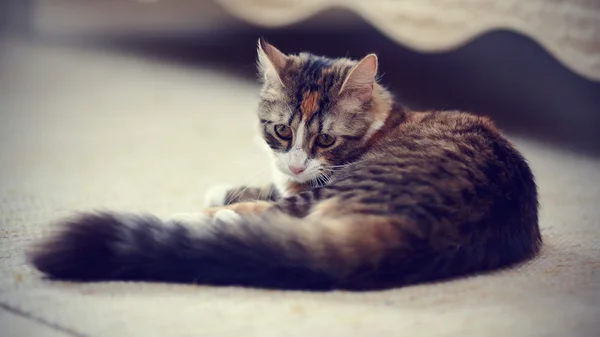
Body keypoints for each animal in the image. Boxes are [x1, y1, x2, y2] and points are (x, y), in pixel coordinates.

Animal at [25, 39, 540, 290]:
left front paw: (219, 200)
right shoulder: (285, 178)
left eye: (326, 138)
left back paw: (201, 219)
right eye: (281, 132)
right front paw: (230, 186)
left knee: (266, 219)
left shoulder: (309, 184)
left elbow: (269, 196)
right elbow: (264, 185)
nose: (294, 165)